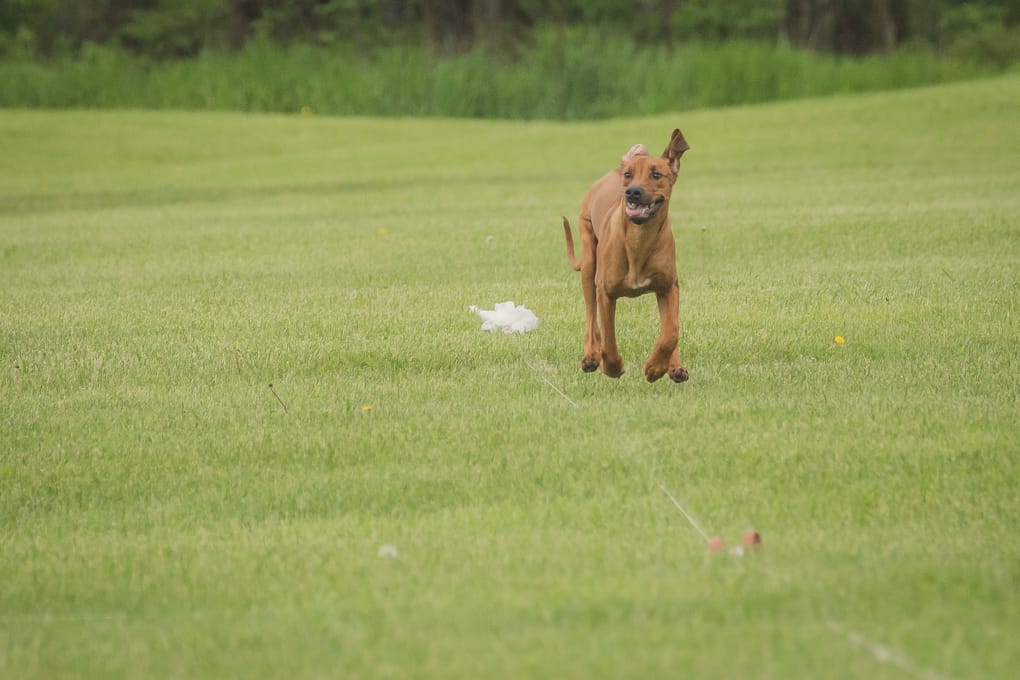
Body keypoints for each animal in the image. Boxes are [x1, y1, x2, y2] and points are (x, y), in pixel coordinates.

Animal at [563, 128, 689, 383]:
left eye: (656, 174)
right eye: (629, 175)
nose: (633, 192)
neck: (639, 238)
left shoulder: (669, 286)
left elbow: (671, 331)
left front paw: (656, 367)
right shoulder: (605, 291)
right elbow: (608, 335)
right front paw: (612, 366)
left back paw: (675, 367)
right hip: (589, 262)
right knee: (591, 317)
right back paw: (590, 356)